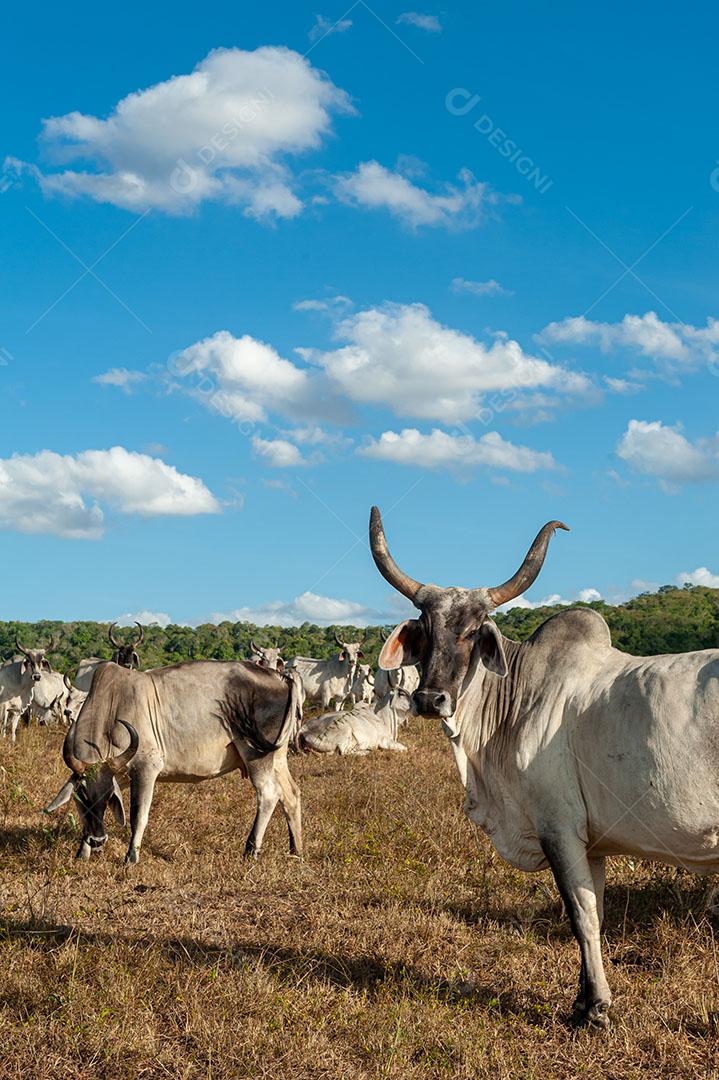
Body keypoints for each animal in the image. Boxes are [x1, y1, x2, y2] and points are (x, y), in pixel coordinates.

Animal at [43, 656, 302, 859]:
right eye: (81, 797)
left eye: (107, 799)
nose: (98, 840)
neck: (112, 707)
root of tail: (279, 677)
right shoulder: (117, 774)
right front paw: (82, 852)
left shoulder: (146, 767)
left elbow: (138, 814)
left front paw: (131, 856)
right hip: (277, 758)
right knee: (291, 794)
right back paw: (295, 850)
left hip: (257, 755)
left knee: (268, 794)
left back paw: (251, 850)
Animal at [367, 505, 719, 1028]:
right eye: (425, 630)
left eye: (473, 631)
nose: (430, 699)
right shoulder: (593, 842)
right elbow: (594, 912)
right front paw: (584, 1001)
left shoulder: (558, 828)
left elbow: (581, 916)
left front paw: (595, 1009)